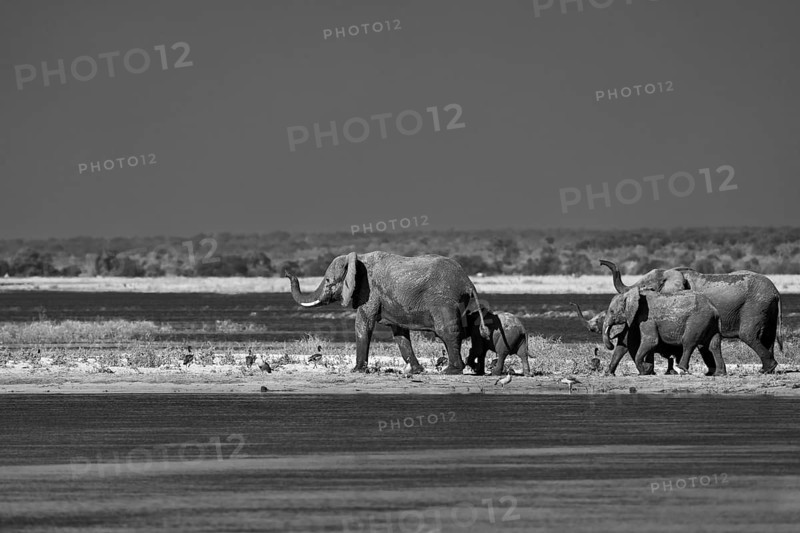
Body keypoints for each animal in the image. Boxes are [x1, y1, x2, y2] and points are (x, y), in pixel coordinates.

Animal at [285, 252, 488, 374]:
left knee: (446, 331)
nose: (287, 273)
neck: (358, 259)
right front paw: (416, 371)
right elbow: (399, 333)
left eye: (328, 280)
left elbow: (363, 323)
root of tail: (468, 282)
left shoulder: (369, 291)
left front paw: (356, 371)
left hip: (443, 300)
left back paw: (451, 370)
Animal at [600, 260, 783, 373]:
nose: (601, 262)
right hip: (767, 308)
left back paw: (766, 369)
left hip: (755, 306)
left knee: (749, 335)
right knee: (768, 337)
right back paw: (768, 370)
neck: (670, 272)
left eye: (645, 286)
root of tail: (776, 292)